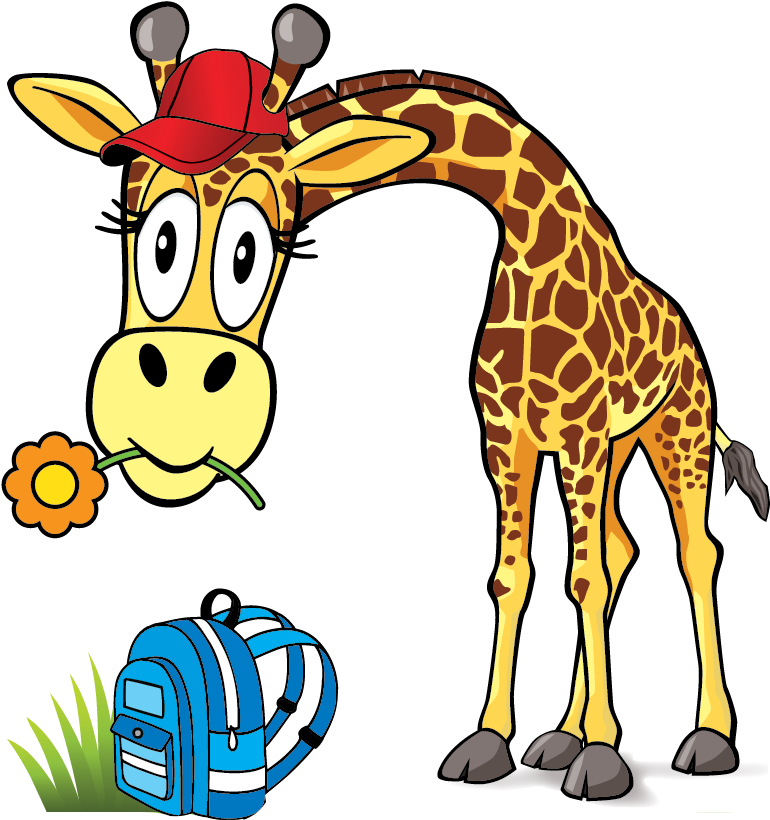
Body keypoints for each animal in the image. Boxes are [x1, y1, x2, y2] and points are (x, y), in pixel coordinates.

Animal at [13, 6, 767, 800]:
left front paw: (602, 758)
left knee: (693, 552)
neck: (531, 242)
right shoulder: (508, 437)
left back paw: (706, 739)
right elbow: (515, 577)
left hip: (673, 430)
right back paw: (559, 737)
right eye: (146, 231)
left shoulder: (581, 431)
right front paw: (495, 741)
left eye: (251, 247)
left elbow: (581, 579)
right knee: (620, 547)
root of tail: (687, 337)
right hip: (616, 447)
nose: (167, 400)